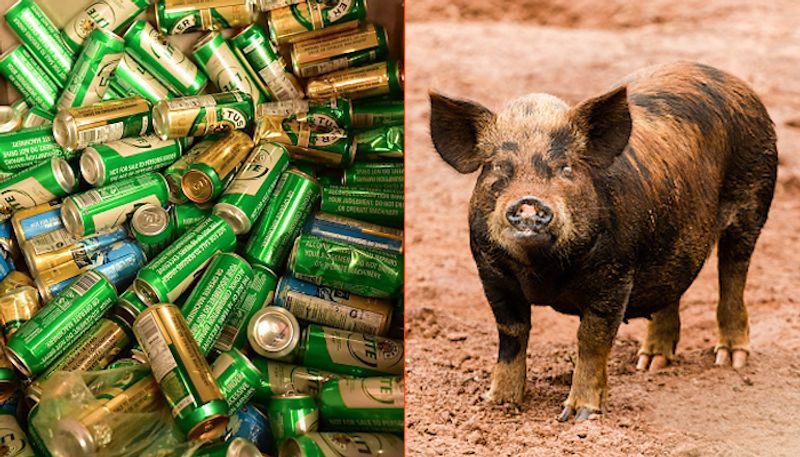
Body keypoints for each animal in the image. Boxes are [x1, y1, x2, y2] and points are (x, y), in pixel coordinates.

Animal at [428, 62, 777, 421]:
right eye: (498, 168)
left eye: (566, 168)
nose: (528, 203)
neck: (541, 271)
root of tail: (732, 81)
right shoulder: (491, 273)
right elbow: (512, 334)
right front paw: (497, 404)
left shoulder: (615, 275)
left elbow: (591, 340)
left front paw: (578, 416)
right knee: (673, 287)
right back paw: (649, 364)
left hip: (754, 197)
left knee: (733, 273)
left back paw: (731, 360)